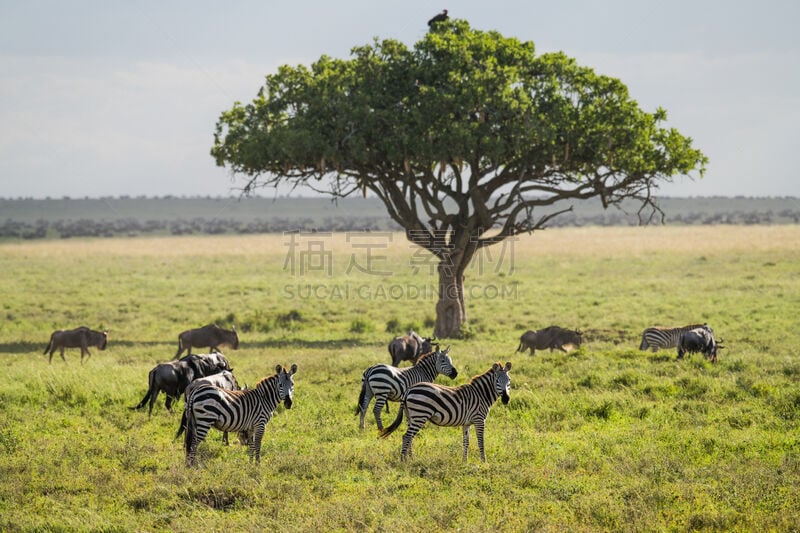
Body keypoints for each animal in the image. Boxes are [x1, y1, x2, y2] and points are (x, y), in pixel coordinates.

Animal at [378, 362, 510, 462]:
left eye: (509, 380)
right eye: (497, 380)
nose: (506, 399)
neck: (481, 394)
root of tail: (409, 389)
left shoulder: (466, 423)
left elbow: (466, 442)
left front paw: (464, 461)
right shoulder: (479, 420)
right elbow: (481, 441)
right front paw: (484, 461)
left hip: (410, 416)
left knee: (409, 437)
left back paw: (411, 458)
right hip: (420, 415)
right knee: (406, 436)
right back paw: (403, 460)